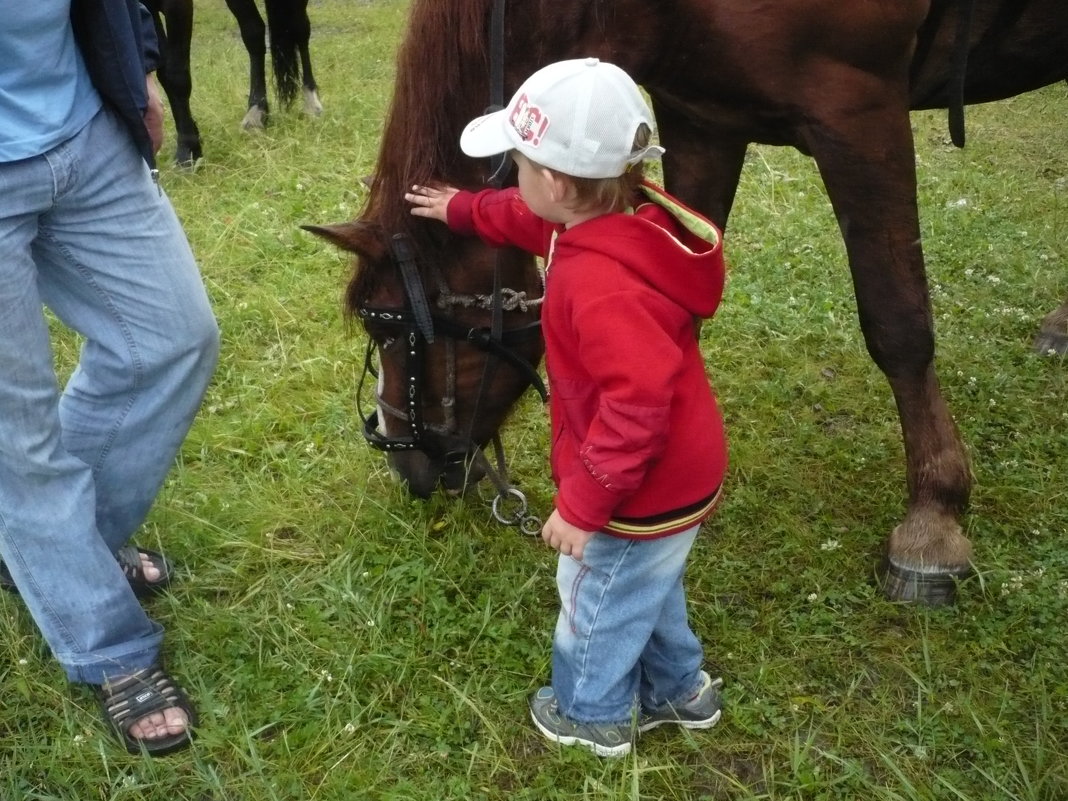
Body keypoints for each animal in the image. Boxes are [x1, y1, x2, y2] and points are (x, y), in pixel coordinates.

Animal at [144, 0, 322, 165]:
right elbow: (163, 71)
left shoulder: (176, 6)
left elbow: (176, 75)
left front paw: (187, 151)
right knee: (254, 33)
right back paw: (256, 113)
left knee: (300, 28)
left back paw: (311, 104)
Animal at [309, 0, 1068, 602]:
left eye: (394, 328)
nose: (406, 464)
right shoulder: (704, 118)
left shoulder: (858, 107)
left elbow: (898, 322)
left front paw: (933, 517)